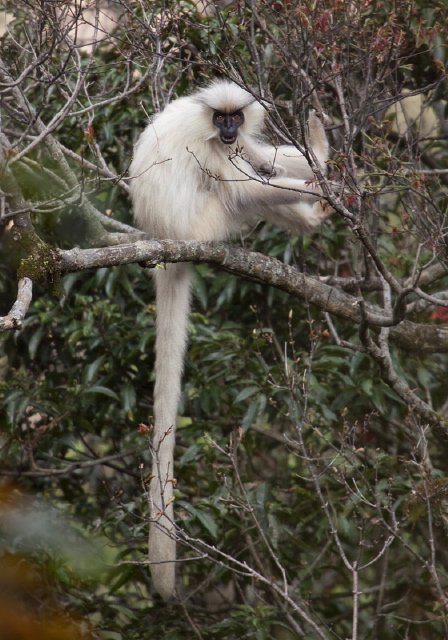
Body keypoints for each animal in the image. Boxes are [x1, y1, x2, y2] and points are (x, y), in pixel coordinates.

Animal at [128, 80, 330, 600]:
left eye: (234, 117)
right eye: (220, 119)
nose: (228, 129)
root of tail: (165, 241)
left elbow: (264, 157)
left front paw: (321, 157)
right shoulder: (205, 150)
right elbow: (244, 184)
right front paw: (324, 183)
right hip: (206, 223)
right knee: (240, 193)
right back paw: (314, 213)